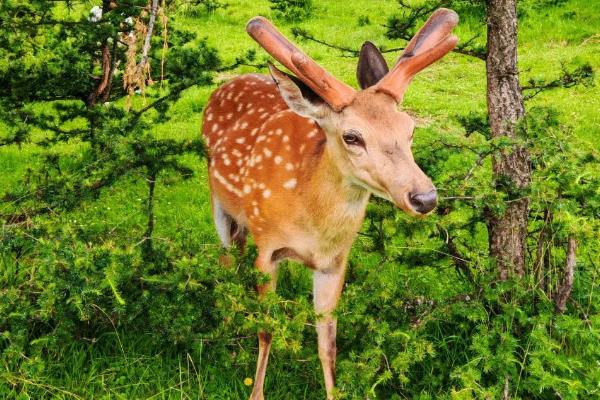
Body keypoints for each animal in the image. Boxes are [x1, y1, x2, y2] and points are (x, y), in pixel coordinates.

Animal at [202, 7, 460, 398]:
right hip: (221, 204)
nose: (424, 196)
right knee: (227, 257)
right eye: (352, 136)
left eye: (410, 129)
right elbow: (267, 329)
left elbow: (328, 344)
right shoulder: (268, 247)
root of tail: (226, 84)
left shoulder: (335, 262)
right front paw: (256, 391)